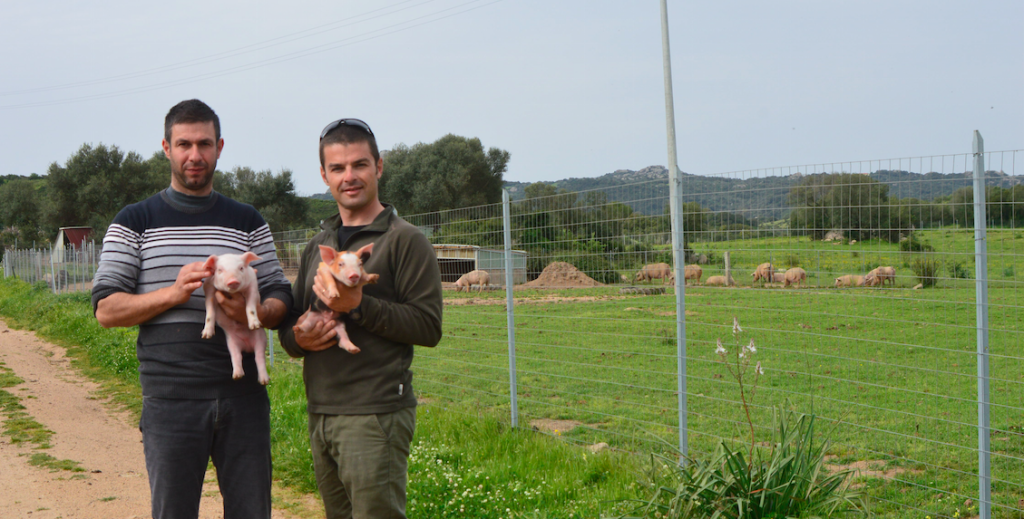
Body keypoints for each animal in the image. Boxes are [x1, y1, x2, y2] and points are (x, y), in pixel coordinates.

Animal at [199, 251, 268, 386]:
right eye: (220, 270)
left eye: (241, 268)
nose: (233, 281)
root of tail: (247, 346)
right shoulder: (209, 288)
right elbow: (210, 312)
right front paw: (206, 336)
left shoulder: (252, 286)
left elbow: (250, 307)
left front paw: (254, 325)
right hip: (232, 342)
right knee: (236, 356)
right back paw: (237, 376)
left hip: (261, 338)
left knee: (259, 357)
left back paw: (264, 381)